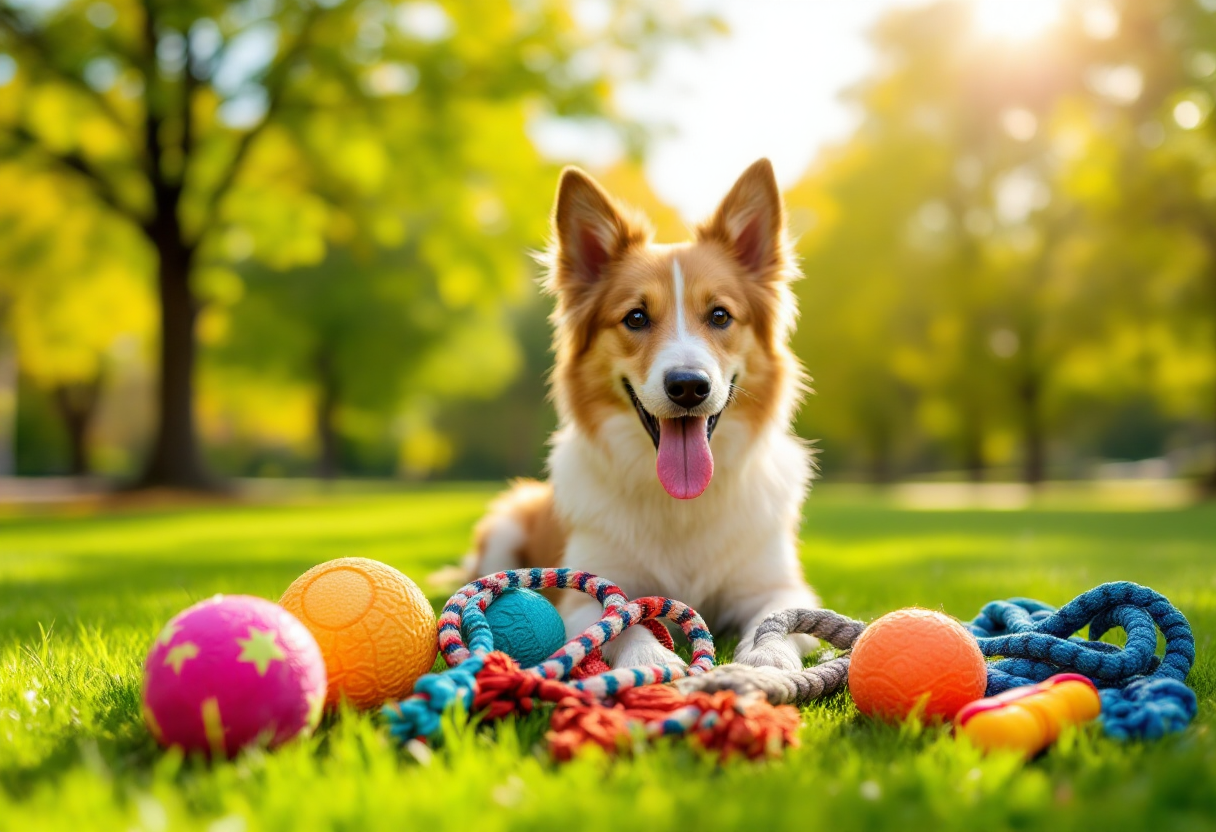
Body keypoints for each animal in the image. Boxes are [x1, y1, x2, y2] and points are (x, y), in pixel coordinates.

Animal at [464, 159, 817, 671]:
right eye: (635, 318)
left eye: (720, 316)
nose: (688, 386)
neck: (680, 506)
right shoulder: (585, 591)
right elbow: (620, 616)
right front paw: (649, 658)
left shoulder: (775, 585)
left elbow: (779, 617)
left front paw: (767, 660)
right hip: (505, 525)